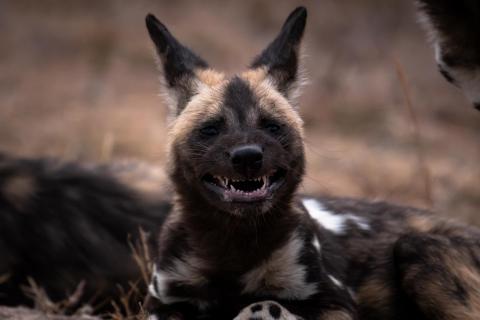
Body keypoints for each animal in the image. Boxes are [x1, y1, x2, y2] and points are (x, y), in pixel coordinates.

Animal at [146, 6, 480, 320]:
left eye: (272, 126)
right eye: (211, 129)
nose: (248, 156)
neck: (233, 241)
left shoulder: (336, 303)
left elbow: (263, 304)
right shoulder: (163, 303)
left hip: (417, 247)